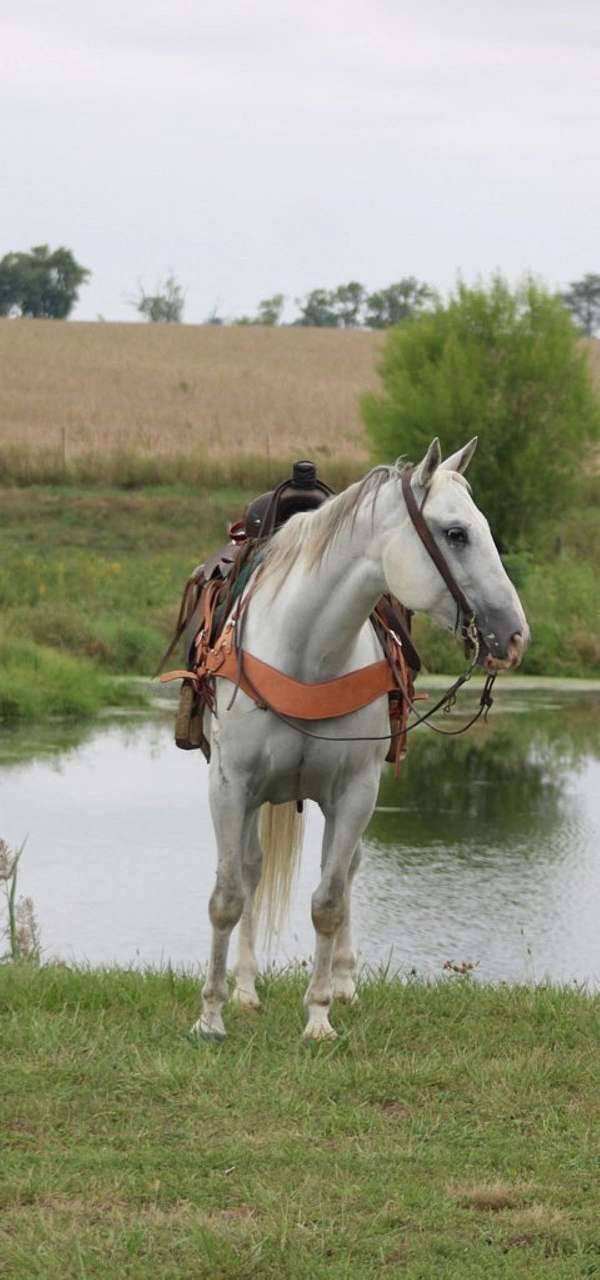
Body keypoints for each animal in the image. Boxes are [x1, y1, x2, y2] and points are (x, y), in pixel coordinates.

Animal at [196, 437, 529, 1042]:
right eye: (455, 533)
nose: (515, 636)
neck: (307, 653)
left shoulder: (355, 792)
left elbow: (330, 900)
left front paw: (320, 1017)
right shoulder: (230, 785)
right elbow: (228, 896)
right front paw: (210, 1015)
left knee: (346, 872)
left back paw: (344, 982)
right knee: (251, 871)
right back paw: (247, 989)